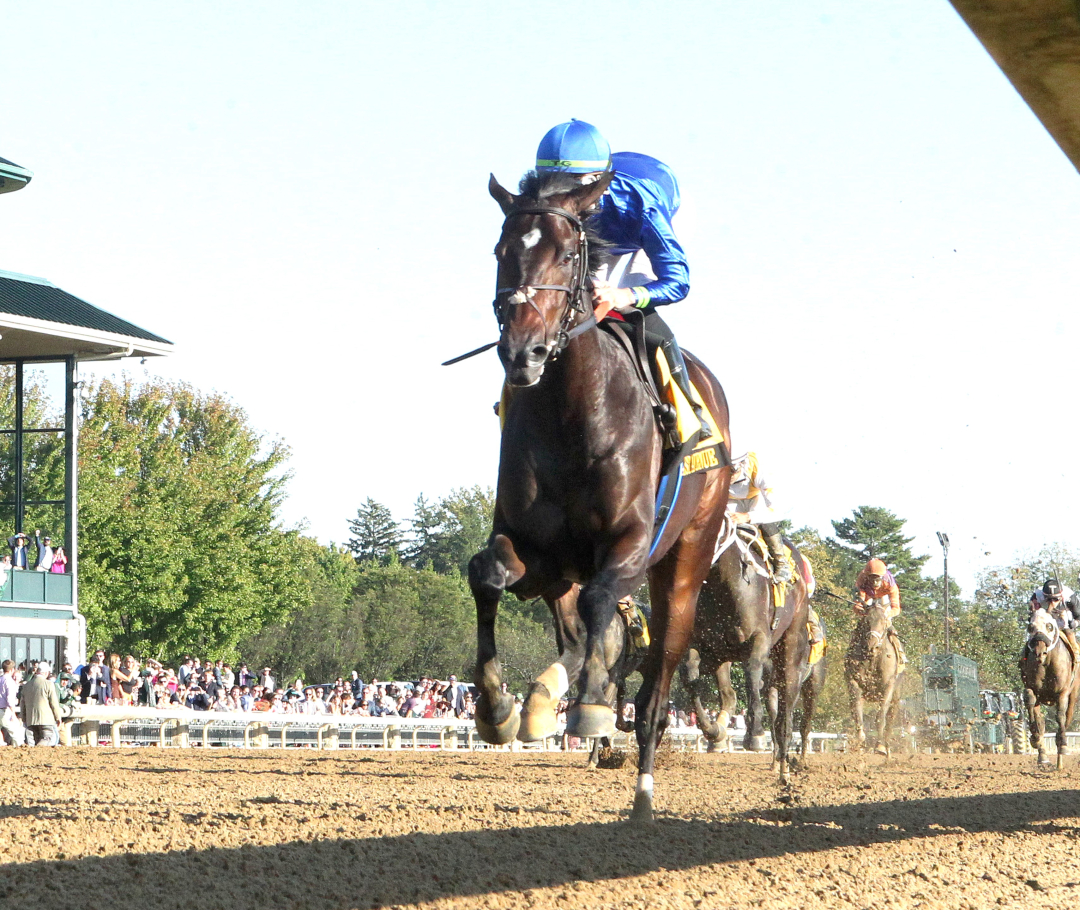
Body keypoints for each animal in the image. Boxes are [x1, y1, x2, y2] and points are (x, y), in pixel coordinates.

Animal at [473, 170, 734, 824]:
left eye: (568, 255)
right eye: (501, 251)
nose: (523, 352)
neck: (573, 412)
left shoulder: (630, 542)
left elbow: (601, 606)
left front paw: (591, 706)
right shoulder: (534, 549)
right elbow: (487, 574)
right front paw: (497, 708)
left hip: (685, 567)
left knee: (657, 684)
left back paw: (642, 791)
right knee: (573, 632)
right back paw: (540, 701)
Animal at [842, 604, 902, 755]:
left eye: (884, 621)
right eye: (866, 621)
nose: (871, 645)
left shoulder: (888, 686)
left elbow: (881, 716)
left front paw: (880, 746)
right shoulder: (854, 682)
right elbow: (857, 712)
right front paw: (859, 742)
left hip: (896, 696)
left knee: (891, 717)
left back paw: (887, 743)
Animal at [1015, 608, 1075, 772]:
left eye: (1049, 626)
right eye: (1030, 627)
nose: (1039, 652)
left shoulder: (1063, 692)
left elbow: (1060, 717)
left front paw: (1063, 745)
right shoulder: (1032, 688)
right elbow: (1032, 706)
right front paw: (1035, 739)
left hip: (1073, 694)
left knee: (1067, 716)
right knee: (1040, 721)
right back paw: (1042, 754)